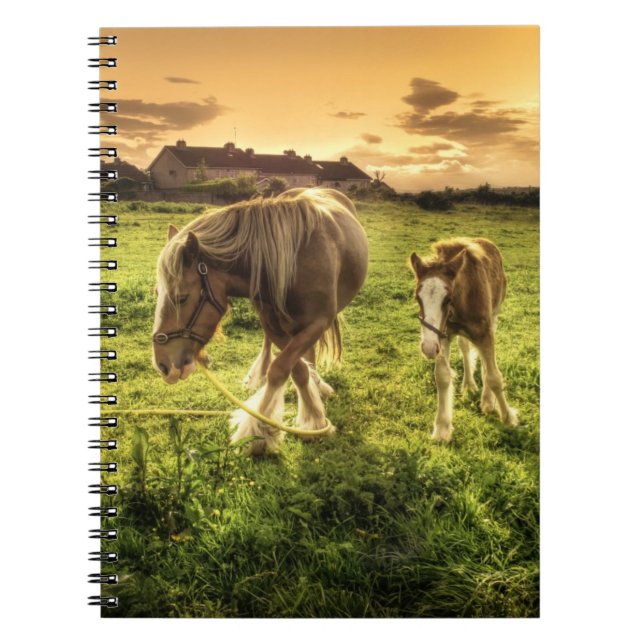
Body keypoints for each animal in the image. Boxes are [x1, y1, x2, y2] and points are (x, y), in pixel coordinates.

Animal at [152, 187, 369, 455]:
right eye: (157, 292)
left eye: (181, 298)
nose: (162, 364)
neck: (294, 259)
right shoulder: (274, 327)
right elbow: (294, 370)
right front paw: (311, 417)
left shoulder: (318, 322)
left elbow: (282, 369)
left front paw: (259, 433)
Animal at [409, 237, 518, 441]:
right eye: (417, 298)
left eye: (447, 298)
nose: (428, 348)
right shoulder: (443, 335)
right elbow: (442, 376)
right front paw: (442, 428)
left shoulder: (484, 333)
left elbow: (494, 376)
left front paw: (508, 418)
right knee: (465, 347)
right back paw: (469, 385)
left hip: (494, 316)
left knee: (484, 361)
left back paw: (487, 400)